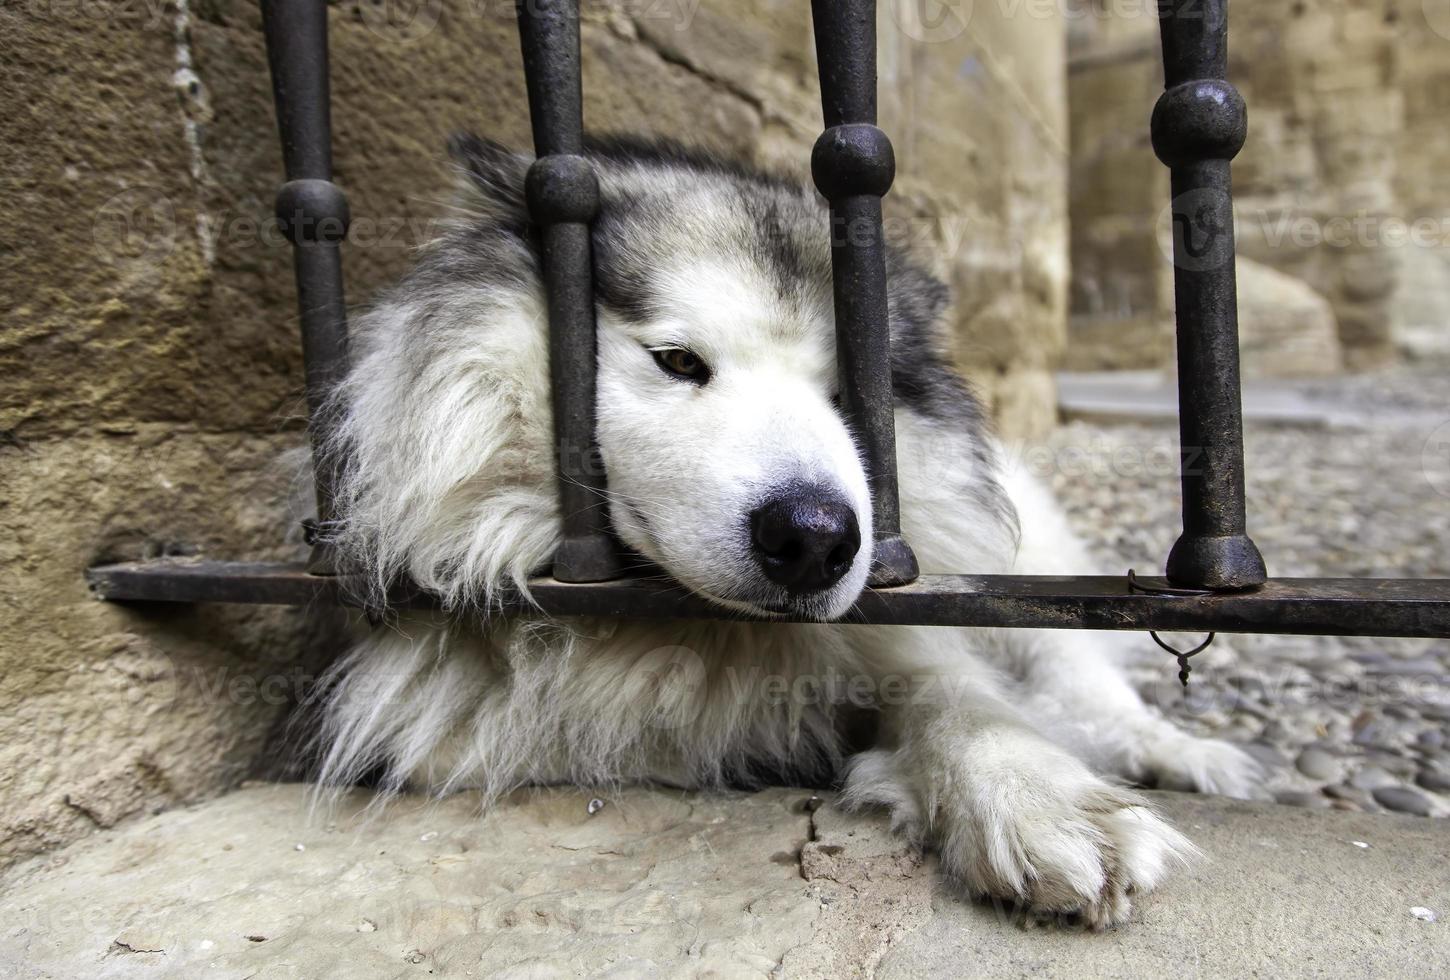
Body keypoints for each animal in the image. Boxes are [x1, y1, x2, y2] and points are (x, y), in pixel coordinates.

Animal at [311, 135, 1264, 927]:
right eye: (677, 361)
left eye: (850, 397)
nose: (815, 540)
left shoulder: (905, 629)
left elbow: (962, 697)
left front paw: (1041, 795)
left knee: (1083, 680)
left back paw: (1179, 751)